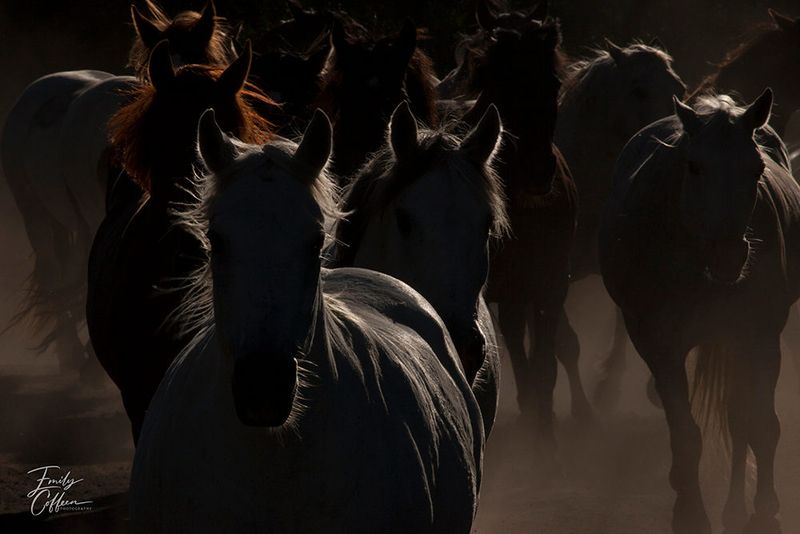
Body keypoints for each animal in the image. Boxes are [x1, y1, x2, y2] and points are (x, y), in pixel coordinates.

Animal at [463, 7, 589, 459]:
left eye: (552, 83)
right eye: (498, 82)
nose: (538, 171)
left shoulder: (550, 284)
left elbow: (547, 362)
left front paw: (546, 440)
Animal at [555, 40, 686, 407]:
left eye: (680, 88)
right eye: (638, 89)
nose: (672, 138)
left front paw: (609, 386)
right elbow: (567, 343)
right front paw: (582, 408)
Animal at [599, 90, 800, 534]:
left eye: (757, 168)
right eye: (694, 166)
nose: (729, 255)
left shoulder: (759, 337)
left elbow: (759, 423)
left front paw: (765, 510)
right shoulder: (660, 347)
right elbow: (686, 435)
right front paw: (690, 513)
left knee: (738, 419)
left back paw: (736, 509)